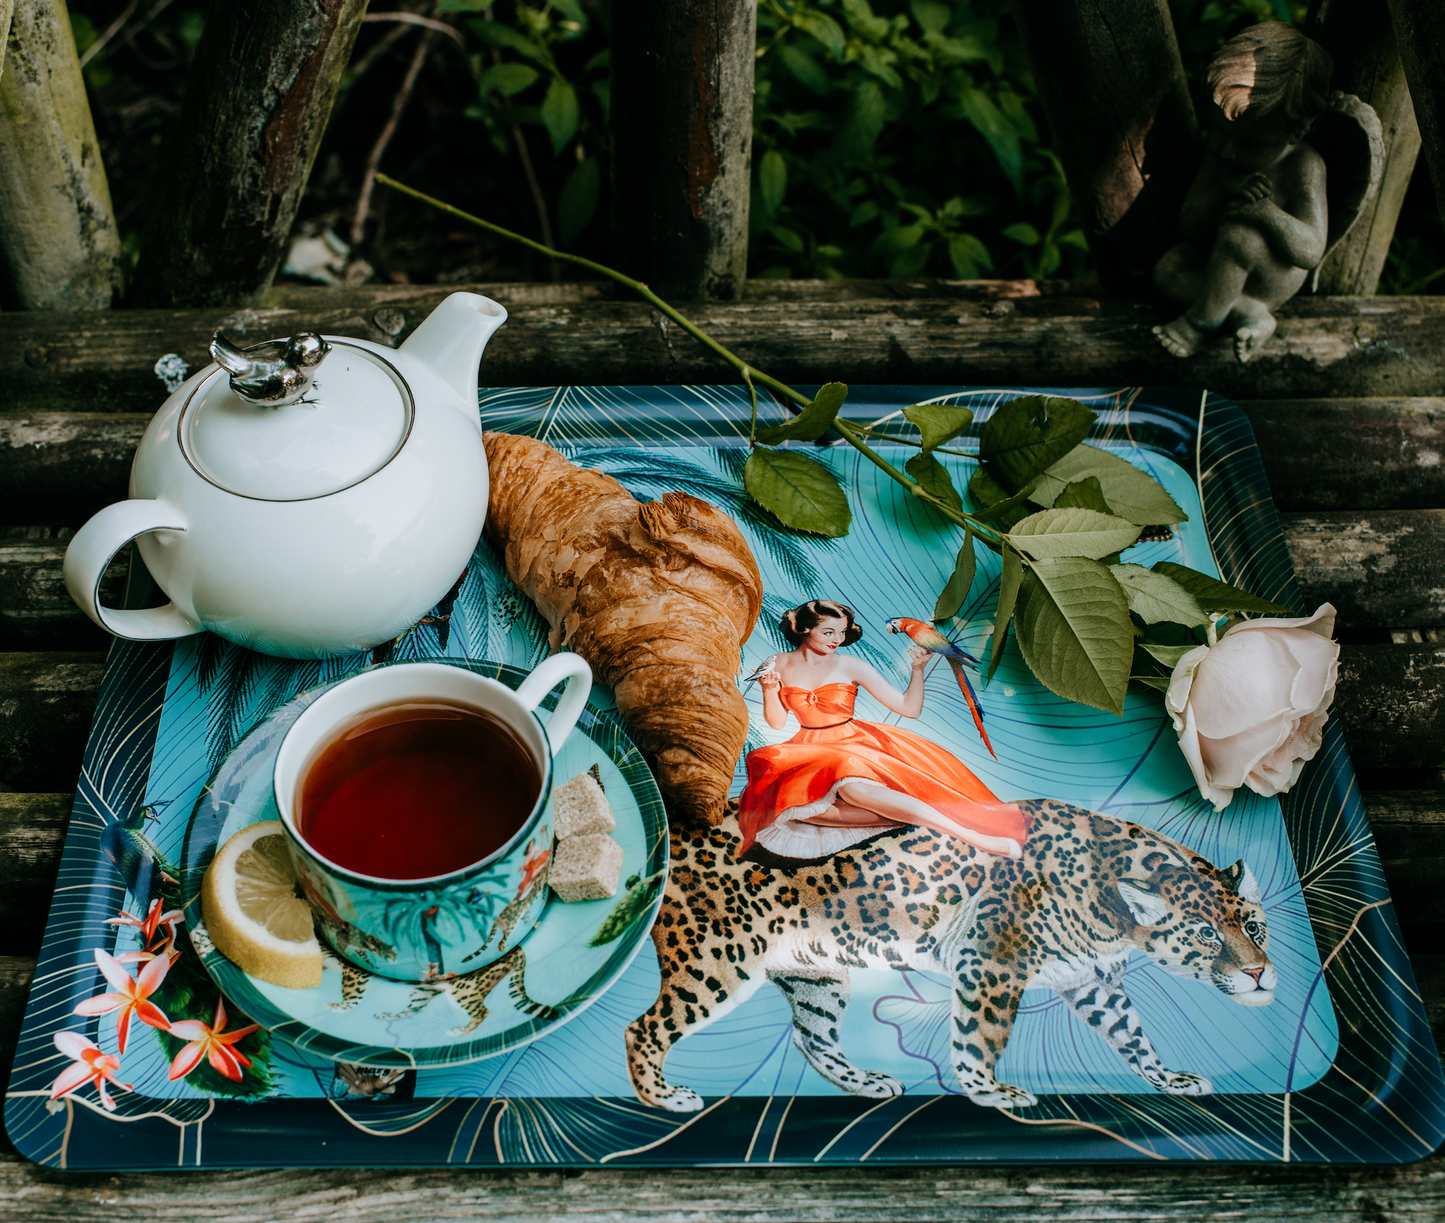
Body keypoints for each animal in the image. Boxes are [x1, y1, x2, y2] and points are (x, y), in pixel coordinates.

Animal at [627, 797, 1271, 1116]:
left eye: (1253, 927)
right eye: (1205, 935)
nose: (1261, 974)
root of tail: (676, 831)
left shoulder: (1089, 978)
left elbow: (1132, 1034)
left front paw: (1171, 1080)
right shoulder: (992, 961)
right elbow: (979, 1034)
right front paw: (989, 1091)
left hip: (816, 974)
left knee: (812, 1038)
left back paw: (865, 1083)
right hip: (716, 959)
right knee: (644, 1028)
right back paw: (664, 1098)